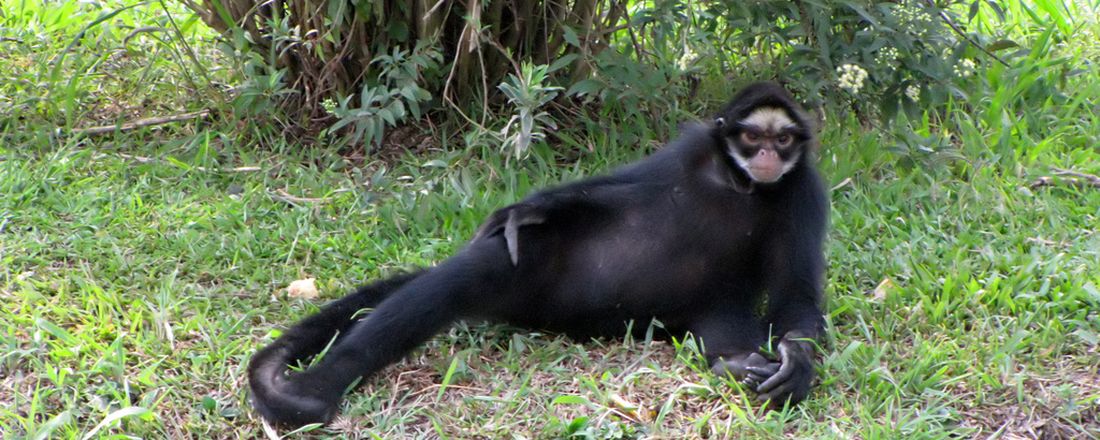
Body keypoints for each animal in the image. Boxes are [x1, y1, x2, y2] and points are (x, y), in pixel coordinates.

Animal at [247, 82, 827, 426]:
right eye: (752, 137)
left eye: (784, 140)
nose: (769, 155)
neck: (738, 184)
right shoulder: (691, 151)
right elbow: (603, 192)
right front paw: (527, 209)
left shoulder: (803, 188)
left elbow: (796, 297)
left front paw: (796, 364)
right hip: (537, 272)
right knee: (470, 274)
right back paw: (314, 391)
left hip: (710, 307)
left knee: (732, 346)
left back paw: (741, 362)